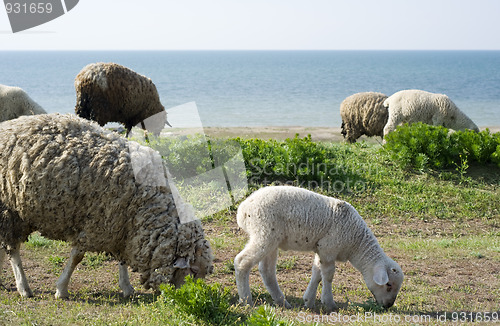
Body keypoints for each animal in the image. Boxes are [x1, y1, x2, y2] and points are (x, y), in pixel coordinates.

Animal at [0, 112, 213, 298]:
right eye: (193, 271)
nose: (185, 297)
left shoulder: (122, 226)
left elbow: (122, 259)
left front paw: (127, 287)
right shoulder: (97, 223)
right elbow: (77, 257)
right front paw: (61, 289)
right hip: (9, 210)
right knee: (13, 250)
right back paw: (24, 288)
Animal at [234, 186, 402, 310]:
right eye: (388, 285)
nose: (388, 306)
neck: (356, 241)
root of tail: (243, 209)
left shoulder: (321, 249)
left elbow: (317, 273)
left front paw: (308, 301)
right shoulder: (329, 248)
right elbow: (328, 275)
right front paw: (329, 303)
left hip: (272, 239)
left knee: (267, 271)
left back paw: (282, 302)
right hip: (264, 232)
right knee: (242, 261)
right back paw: (246, 301)